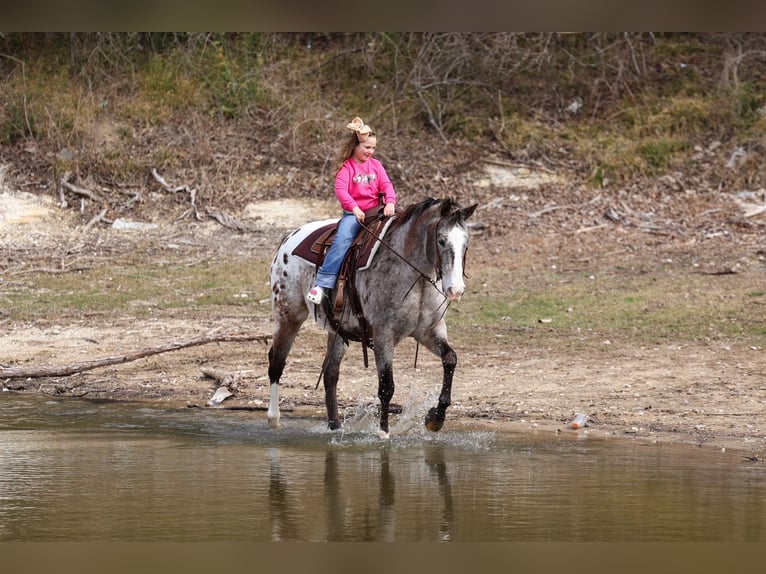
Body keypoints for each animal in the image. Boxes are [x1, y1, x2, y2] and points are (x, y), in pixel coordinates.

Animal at [267, 197, 478, 438]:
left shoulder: (429, 331)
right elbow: (386, 385)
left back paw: (335, 425)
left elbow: (450, 359)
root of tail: (289, 239)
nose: (456, 290)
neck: (414, 276)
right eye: (441, 241)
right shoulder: (383, 334)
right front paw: (383, 432)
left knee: (330, 373)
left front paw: (435, 418)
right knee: (277, 362)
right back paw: (274, 419)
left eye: (466, 243)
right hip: (288, 315)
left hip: (337, 331)